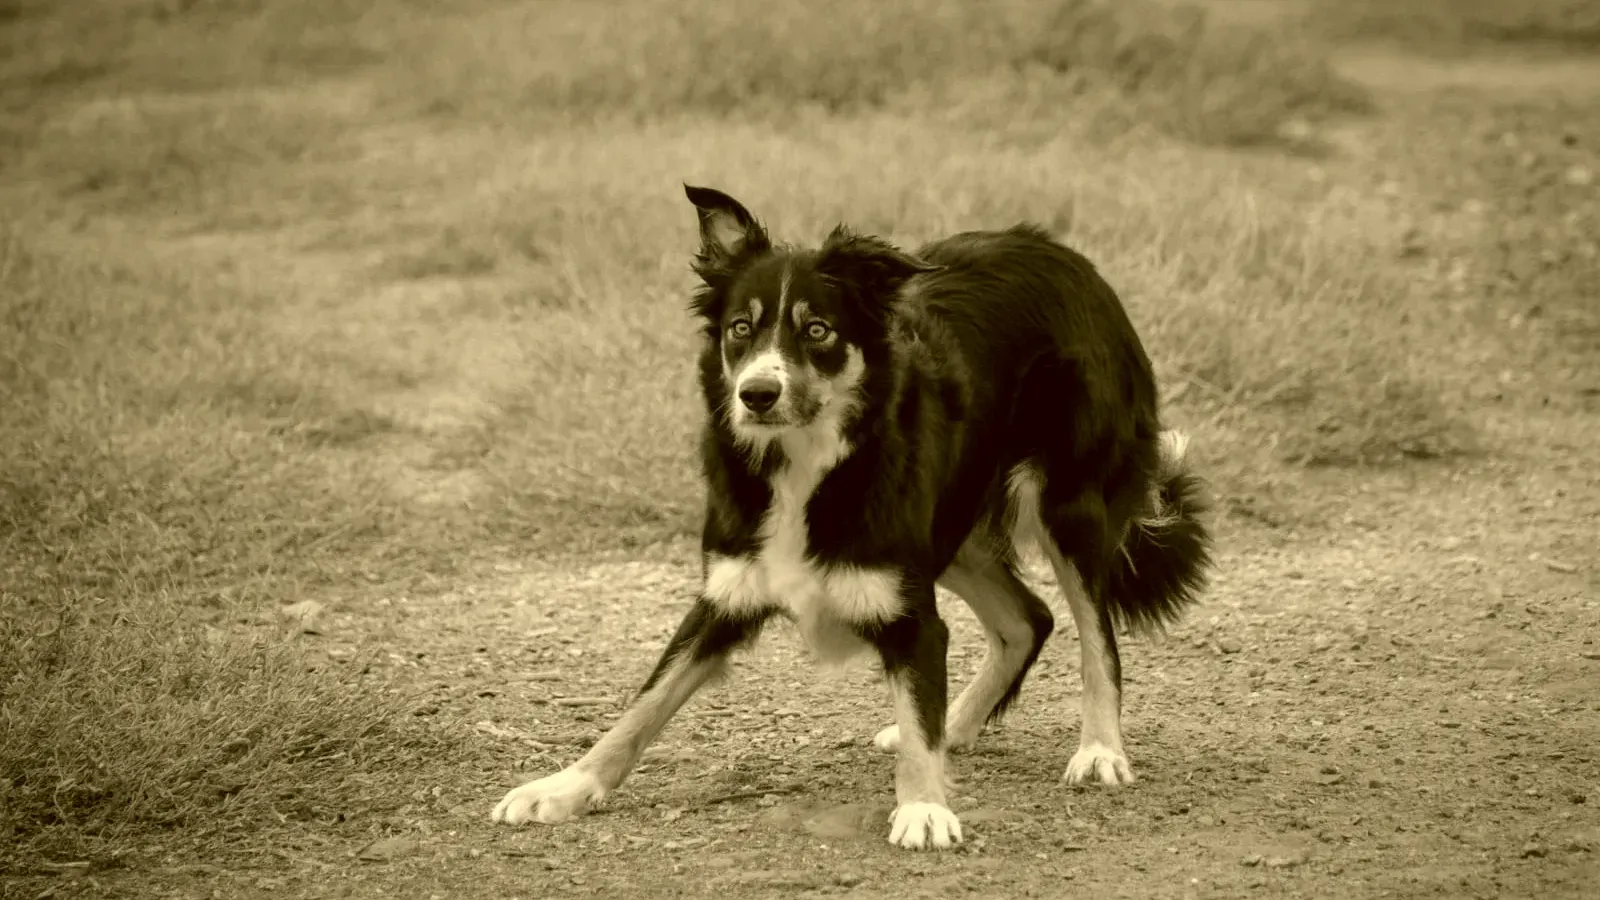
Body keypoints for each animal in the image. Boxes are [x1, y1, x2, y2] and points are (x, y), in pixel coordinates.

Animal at [489, 184, 1209, 845]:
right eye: (740, 328)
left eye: (818, 331)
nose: (756, 394)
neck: (804, 465)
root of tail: (1065, 255)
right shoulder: (725, 597)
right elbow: (643, 704)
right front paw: (564, 786)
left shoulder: (910, 613)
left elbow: (923, 706)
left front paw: (924, 806)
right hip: (948, 528)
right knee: (1028, 619)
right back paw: (961, 724)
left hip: (1066, 504)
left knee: (1096, 635)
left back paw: (1099, 749)